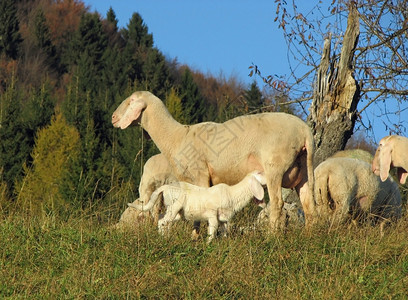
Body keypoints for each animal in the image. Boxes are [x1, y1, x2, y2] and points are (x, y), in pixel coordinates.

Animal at [112, 90, 318, 231]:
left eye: (131, 100)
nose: (113, 117)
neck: (177, 137)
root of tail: (304, 130)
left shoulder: (200, 175)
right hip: (304, 169)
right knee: (309, 205)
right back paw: (310, 235)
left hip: (274, 167)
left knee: (277, 204)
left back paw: (272, 236)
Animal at [128, 170, 268, 243]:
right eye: (259, 173)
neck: (232, 194)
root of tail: (165, 187)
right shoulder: (212, 215)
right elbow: (212, 231)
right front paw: (208, 245)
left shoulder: (223, 219)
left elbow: (224, 233)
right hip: (175, 205)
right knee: (163, 222)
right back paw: (164, 240)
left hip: (176, 211)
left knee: (161, 219)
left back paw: (165, 237)